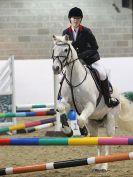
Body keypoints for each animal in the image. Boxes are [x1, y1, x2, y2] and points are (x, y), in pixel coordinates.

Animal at [52, 34, 133, 171]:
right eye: (54, 49)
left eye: (65, 50)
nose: (55, 68)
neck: (74, 79)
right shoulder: (67, 103)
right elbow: (62, 110)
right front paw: (68, 131)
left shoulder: (90, 105)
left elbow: (80, 119)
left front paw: (83, 132)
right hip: (93, 122)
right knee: (98, 141)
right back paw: (98, 165)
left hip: (110, 120)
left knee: (108, 142)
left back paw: (104, 166)